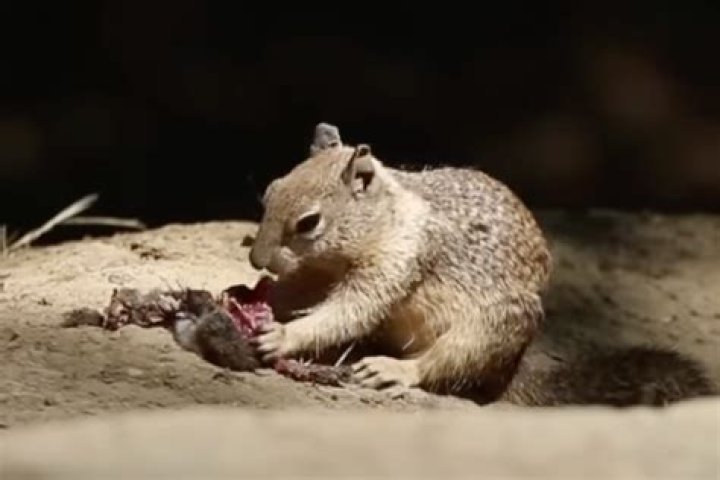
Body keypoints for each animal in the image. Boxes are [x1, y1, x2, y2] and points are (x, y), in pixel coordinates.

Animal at [242, 122, 715, 407]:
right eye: (271, 190)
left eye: (309, 222)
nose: (256, 259)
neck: (384, 217)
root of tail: (510, 372)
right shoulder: (317, 271)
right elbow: (300, 291)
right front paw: (248, 294)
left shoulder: (397, 261)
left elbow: (350, 311)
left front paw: (282, 335)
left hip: (487, 332)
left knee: (443, 364)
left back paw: (392, 369)